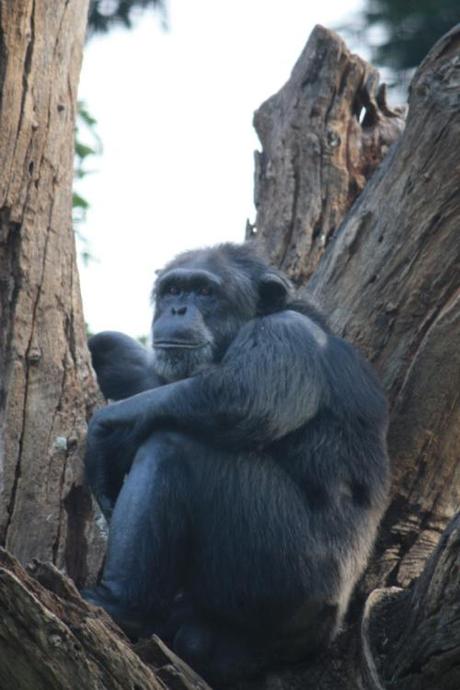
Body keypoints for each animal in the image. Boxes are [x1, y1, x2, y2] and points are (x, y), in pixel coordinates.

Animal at [82, 242, 388, 684]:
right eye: (173, 289)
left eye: (205, 292)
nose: (178, 309)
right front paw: (106, 348)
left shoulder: (287, 336)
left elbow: (240, 398)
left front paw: (104, 431)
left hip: (280, 568)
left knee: (173, 447)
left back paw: (118, 605)